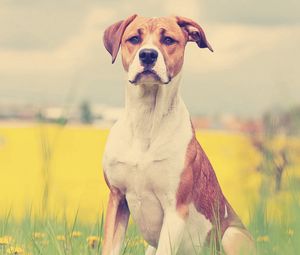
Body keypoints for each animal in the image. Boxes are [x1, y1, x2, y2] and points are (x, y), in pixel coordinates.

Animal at [101, 14, 255, 255]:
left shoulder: (175, 209)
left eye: (168, 40)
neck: (147, 119)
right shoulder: (117, 198)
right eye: (134, 38)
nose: (148, 54)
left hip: (232, 235)